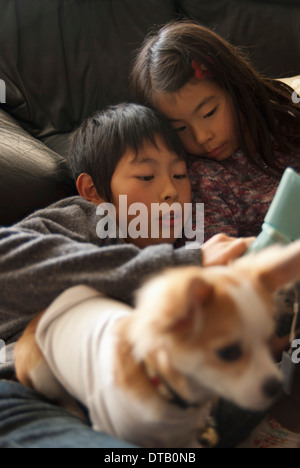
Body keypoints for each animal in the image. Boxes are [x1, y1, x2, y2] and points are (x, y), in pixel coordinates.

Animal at [14, 243, 300, 448]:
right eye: (228, 353)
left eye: (267, 340)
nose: (276, 387)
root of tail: (41, 314)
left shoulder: (186, 438)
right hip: (40, 372)